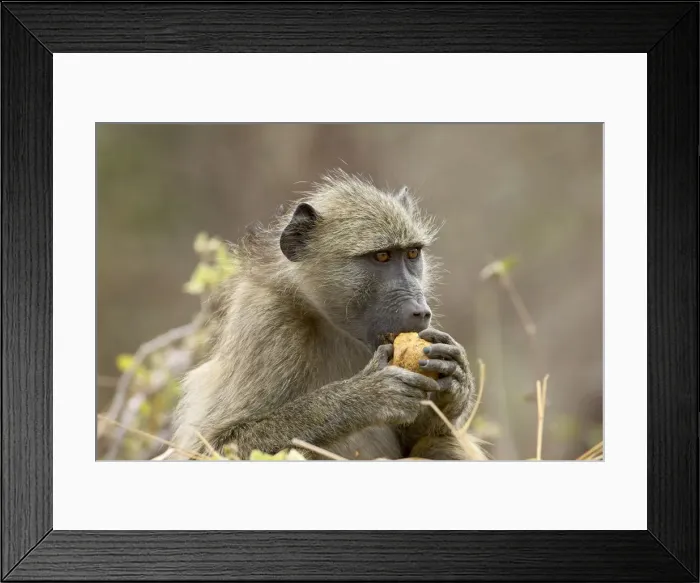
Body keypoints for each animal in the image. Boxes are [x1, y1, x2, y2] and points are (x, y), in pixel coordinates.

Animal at [168, 169, 487, 461]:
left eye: (412, 254)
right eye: (382, 256)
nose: (420, 311)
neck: (327, 320)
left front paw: (456, 385)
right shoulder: (267, 322)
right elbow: (214, 447)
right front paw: (365, 396)